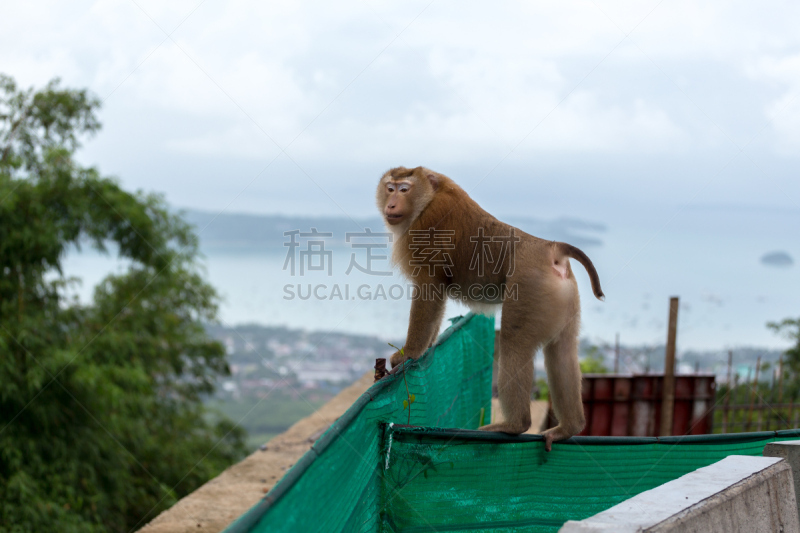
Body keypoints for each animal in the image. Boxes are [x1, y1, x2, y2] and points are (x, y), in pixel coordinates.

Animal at [378, 165, 604, 448]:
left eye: (404, 189)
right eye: (390, 188)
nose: (391, 202)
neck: (429, 197)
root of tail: (550, 248)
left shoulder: (427, 227)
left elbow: (430, 288)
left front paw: (409, 353)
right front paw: (428, 347)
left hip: (529, 288)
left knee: (513, 342)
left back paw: (514, 424)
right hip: (563, 298)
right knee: (562, 350)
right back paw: (569, 427)